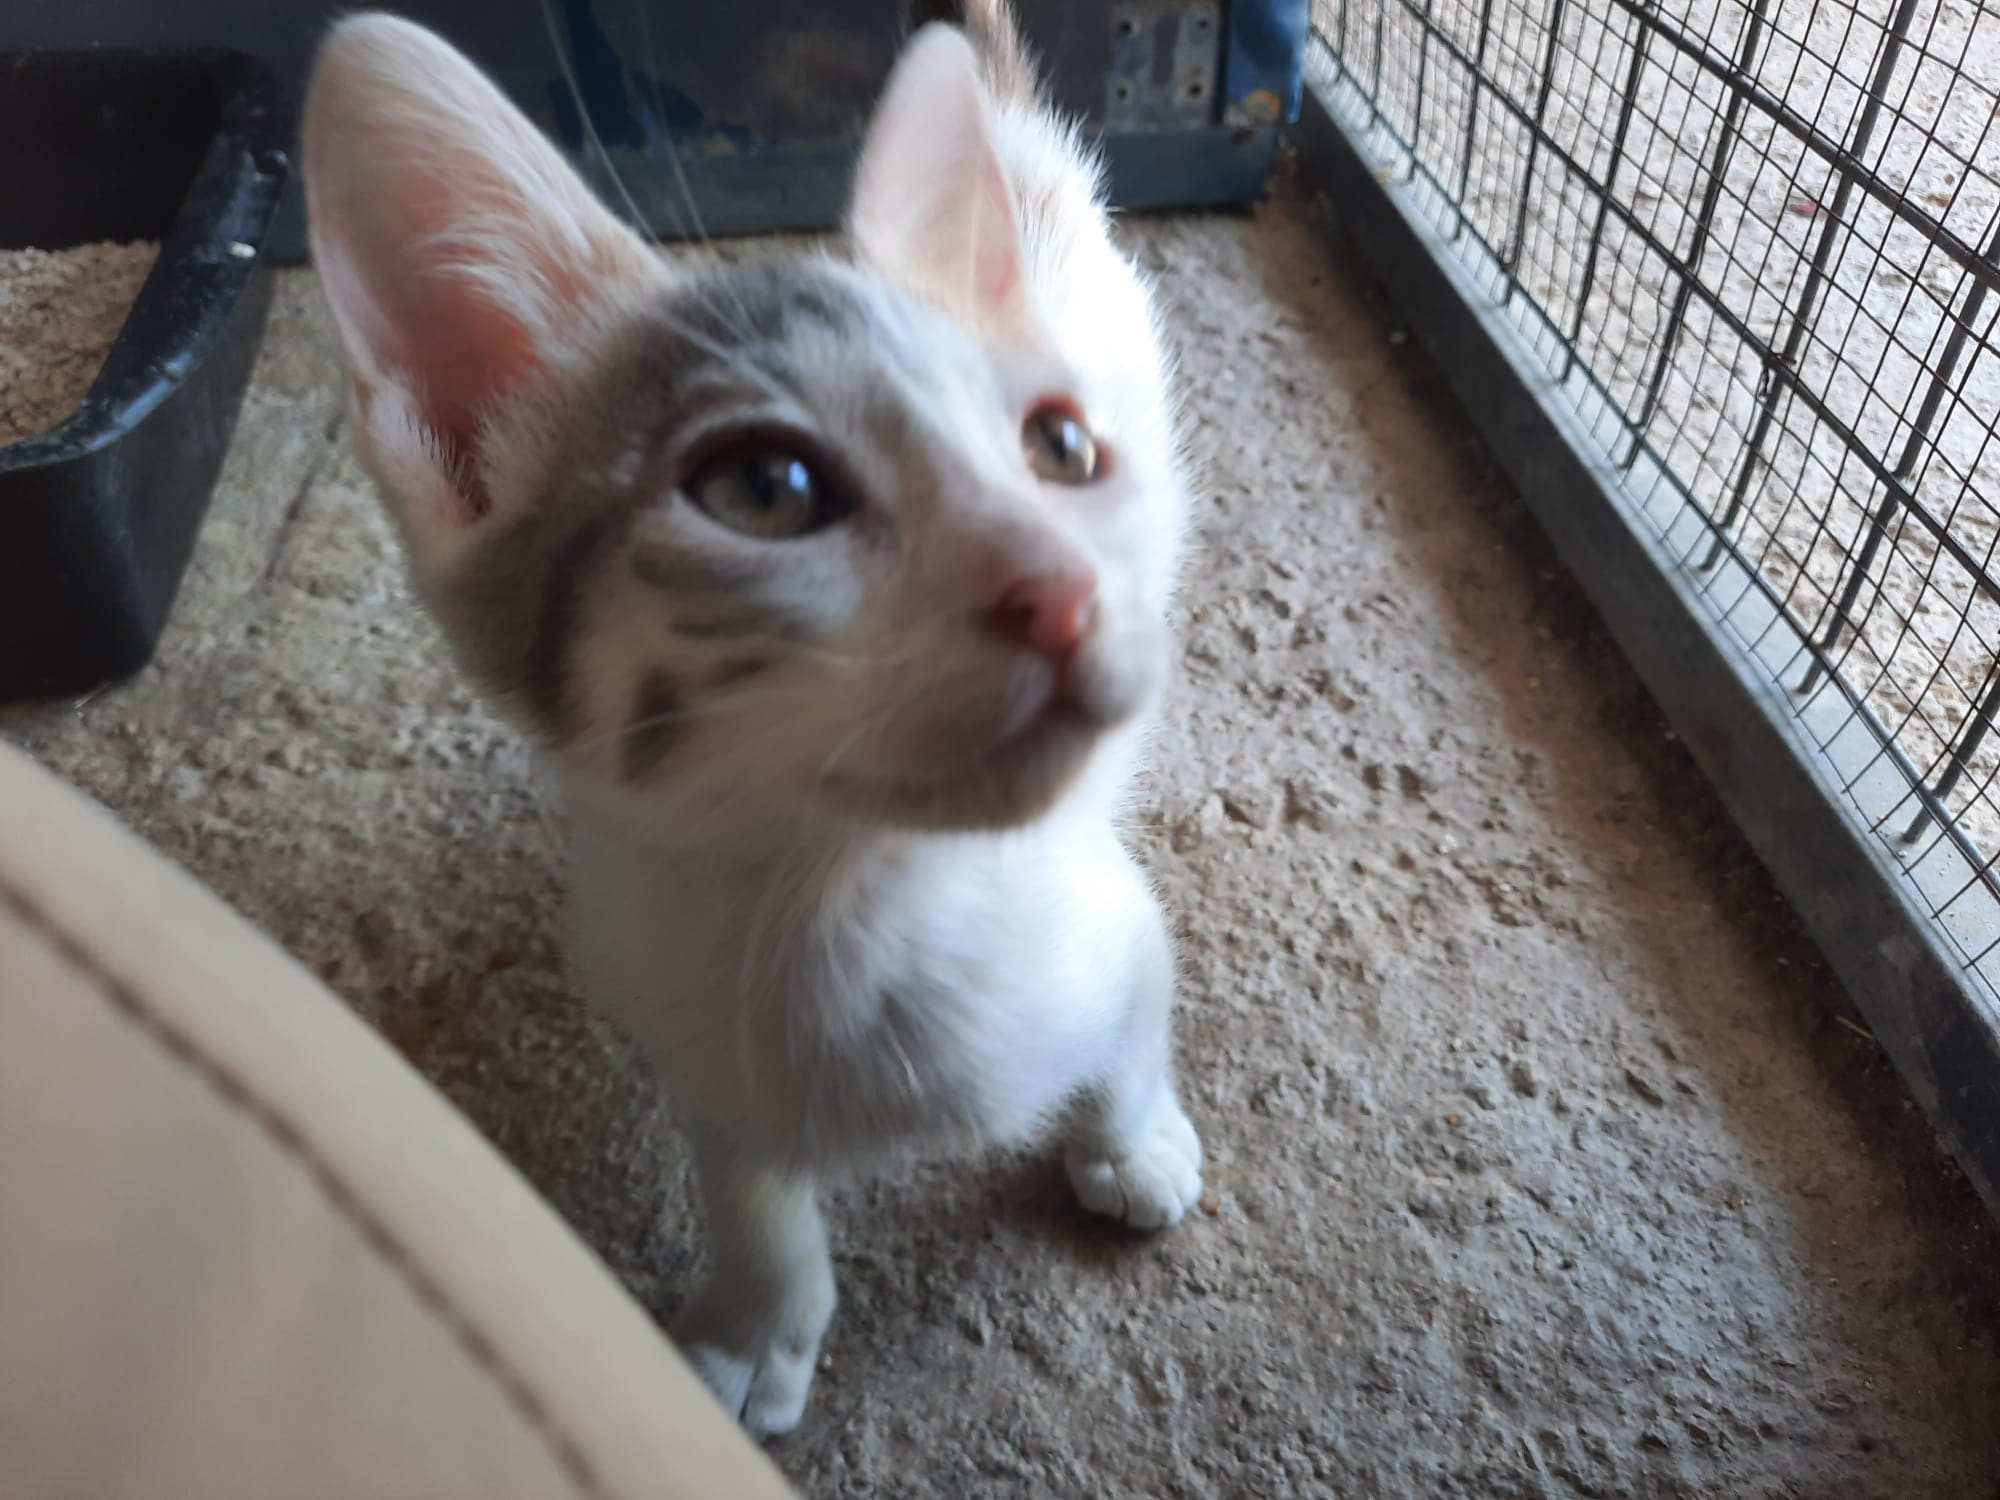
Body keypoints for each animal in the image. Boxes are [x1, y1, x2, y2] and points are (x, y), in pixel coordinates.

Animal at [302, 0, 1204, 1437]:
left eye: (1061, 448)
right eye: (764, 486)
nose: (1065, 591)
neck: (863, 910)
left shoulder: (1117, 920)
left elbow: (1129, 1031)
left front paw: (1131, 1146)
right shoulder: (687, 1028)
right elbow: (748, 1190)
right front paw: (754, 1331)